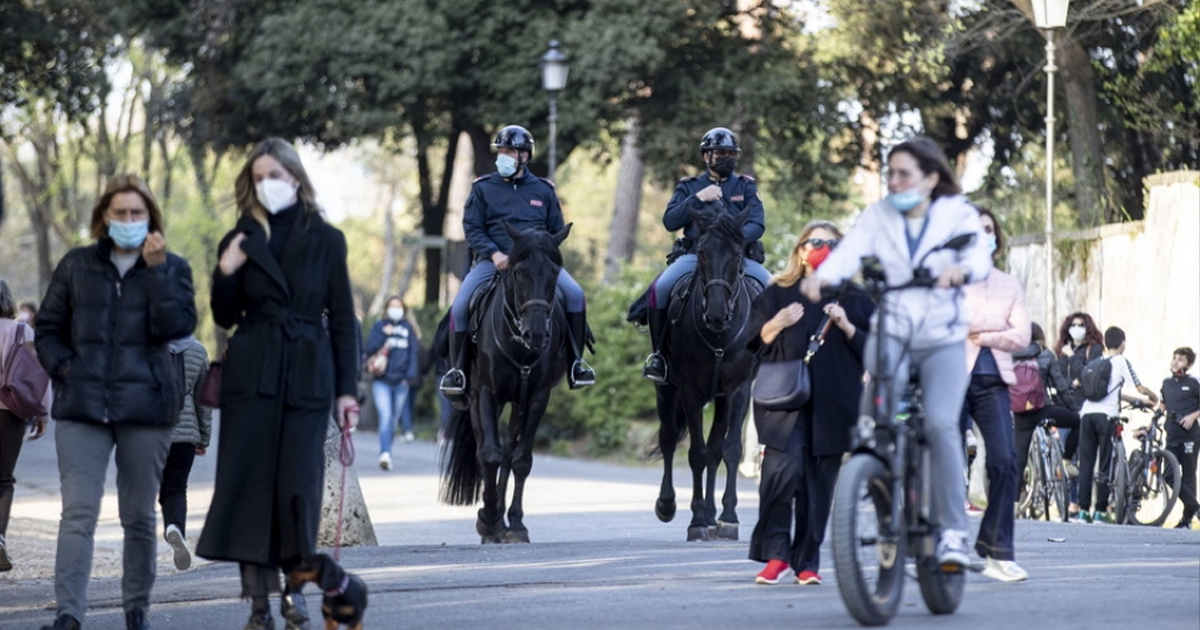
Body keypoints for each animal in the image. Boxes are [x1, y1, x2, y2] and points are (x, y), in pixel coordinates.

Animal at [439, 219, 573, 540]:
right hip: (477, 398)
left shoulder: (537, 397)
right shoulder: (488, 393)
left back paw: (503, 520)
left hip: (517, 403)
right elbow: (489, 455)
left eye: (554, 273)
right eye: (518, 272)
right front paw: (487, 520)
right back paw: (492, 520)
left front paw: (515, 523)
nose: (536, 333)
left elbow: (521, 460)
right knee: (485, 450)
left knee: (510, 452)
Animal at [652, 205, 753, 540]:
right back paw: (668, 504)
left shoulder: (739, 389)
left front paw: (729, 517)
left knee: (715, 449)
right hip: (666, 390)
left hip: (720, 398)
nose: (717, 315)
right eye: (703, 255)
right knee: (669, 439)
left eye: (737, 254)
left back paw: (712, 516)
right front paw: (695, 520)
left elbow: (729, 448)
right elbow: (695, 452)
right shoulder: (690, 391)